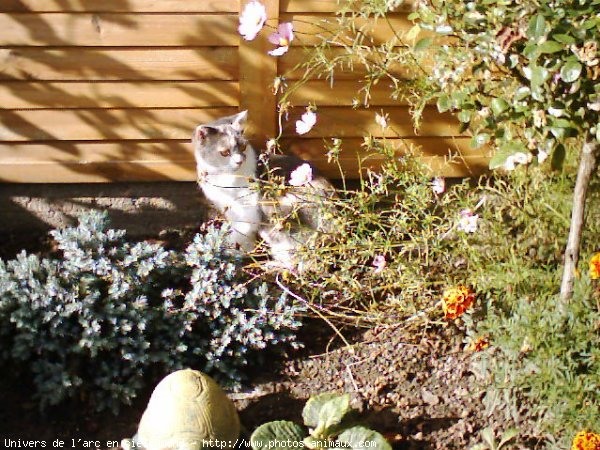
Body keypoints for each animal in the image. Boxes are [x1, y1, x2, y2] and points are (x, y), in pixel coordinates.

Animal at [192, 110, 332, 268]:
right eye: (225, 153)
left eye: (243, 147)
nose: (239, 161)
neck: (223, 177)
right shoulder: (229, 207)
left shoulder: (247, 210)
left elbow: (242, 232)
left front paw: (234, 251)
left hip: (272, 206)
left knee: (302, 260)